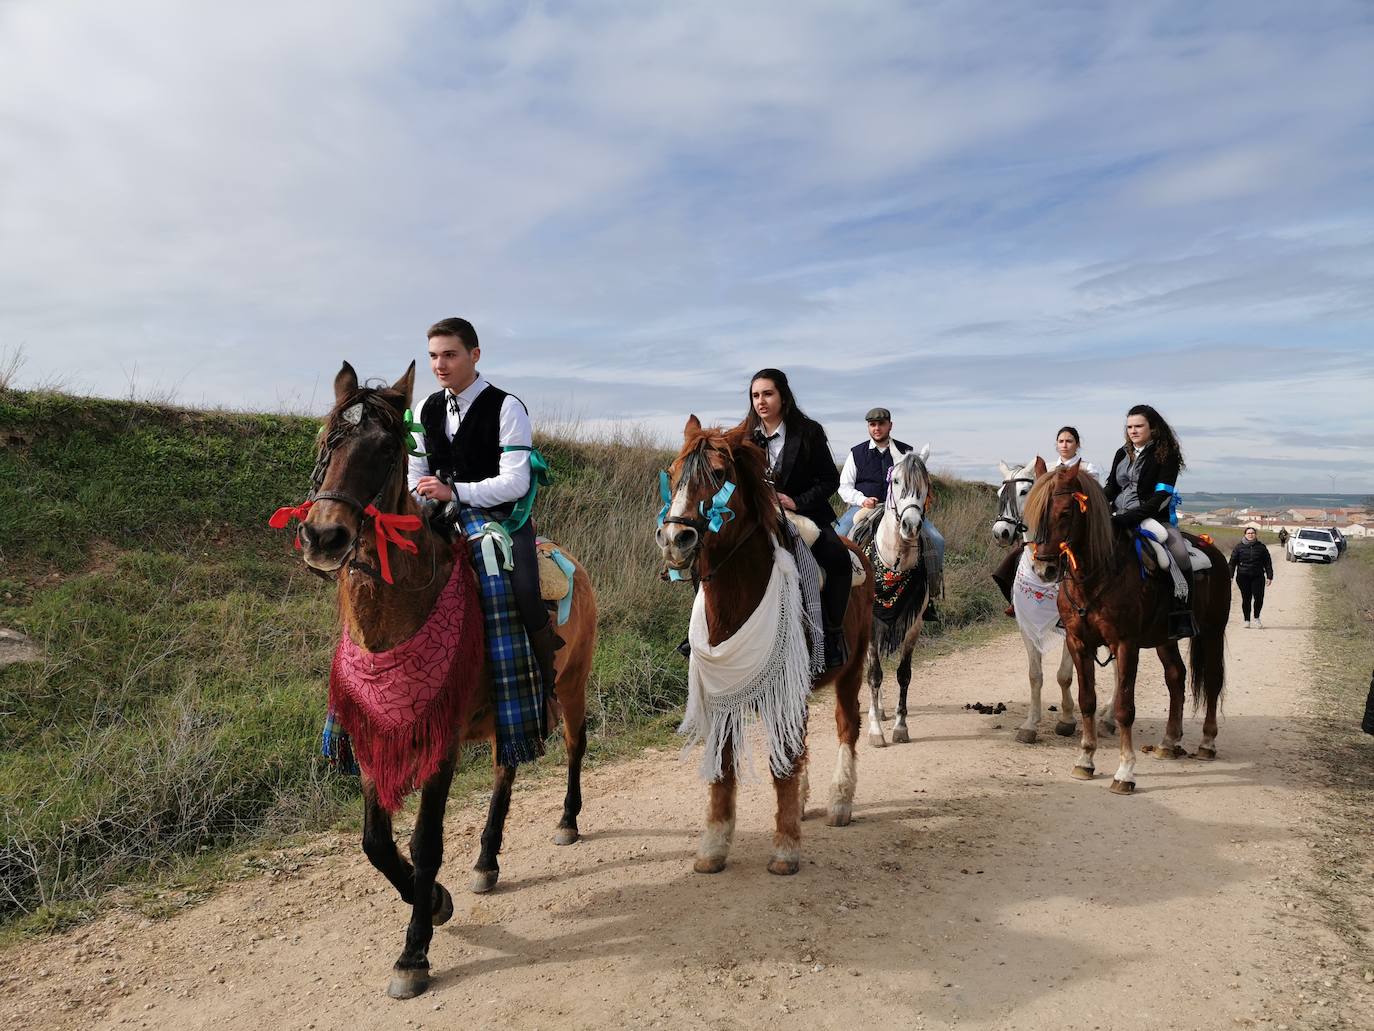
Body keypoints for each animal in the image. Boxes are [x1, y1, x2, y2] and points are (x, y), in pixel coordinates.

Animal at [289, 365, 596, 1000]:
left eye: (386, 450)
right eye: (327, 440)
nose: (324, 537)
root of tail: (571, 561)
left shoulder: (442, 741)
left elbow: (425, 842)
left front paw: (414, 952)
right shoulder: (377, 730)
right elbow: (377, 842)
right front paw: (433, 901)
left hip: (572, 684)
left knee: (576, 746)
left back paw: (566, 821)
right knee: (506, 768)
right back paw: (486, 861)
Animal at [651, 415, 868, 874]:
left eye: (719, 474)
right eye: (674, 474)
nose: (675, 538)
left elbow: (781, 761)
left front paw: (785, 847)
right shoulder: (726, 689)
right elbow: (724, 765)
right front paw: (714, 845)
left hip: (853, 669)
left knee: (847, 727)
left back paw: (840, 801)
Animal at [851, 448, 939, 747]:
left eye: (926, 484)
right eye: (897, 481)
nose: (911, 525)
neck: (894, 563)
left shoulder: (914, 624)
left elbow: (903, 674)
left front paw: (901, 727)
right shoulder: (870, 623)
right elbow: (874, 675)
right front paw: (875, 731)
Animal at [1022, 464, 1236, 797]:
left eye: (1066, 512)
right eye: (1030, 514)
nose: (1045, 569)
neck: (1096, 575)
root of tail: (1211, 550)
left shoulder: (1125, 645)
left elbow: (1124, 707)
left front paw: (1125, 771)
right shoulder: (1078, 643)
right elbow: (1087, 701)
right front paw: (1085, 759)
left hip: (1212, 633)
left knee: (1212, 681)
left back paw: (1207, 742)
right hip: (1165, 640)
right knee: (1176, 677)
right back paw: (1168, 742)